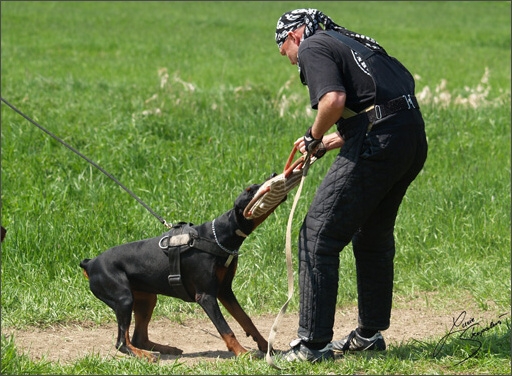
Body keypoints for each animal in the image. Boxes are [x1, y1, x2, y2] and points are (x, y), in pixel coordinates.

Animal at [79, 182, 284, 362]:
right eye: (250, 190)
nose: (274, 174)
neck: (217, 236)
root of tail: (90, 263)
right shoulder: (206, 296)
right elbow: (225, 328)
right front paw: (242, 353)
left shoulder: (225, 290)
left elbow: (246, 319)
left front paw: (266, 347)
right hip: (124, 298)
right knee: (122, 342)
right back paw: (145, 355)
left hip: (146, 299)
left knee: (138, 337)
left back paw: (165, 349)